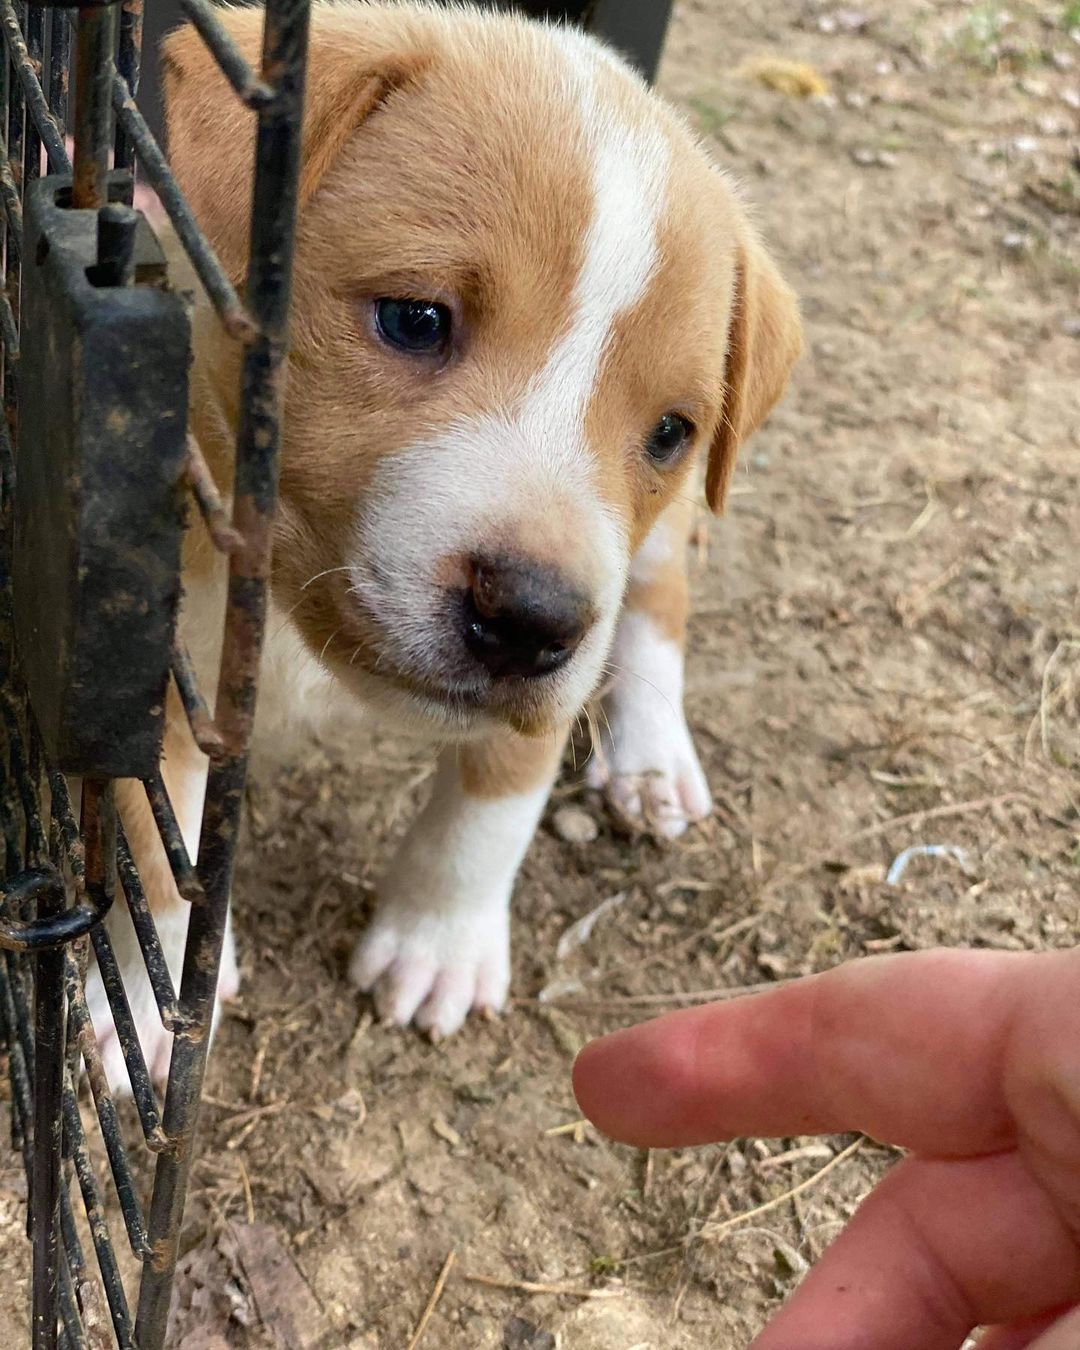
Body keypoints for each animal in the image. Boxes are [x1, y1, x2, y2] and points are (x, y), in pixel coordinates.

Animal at [88, 0, 799, 1074]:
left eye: (671, 432)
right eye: (416, 319)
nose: (531, 621)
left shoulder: (569, 647)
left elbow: (490, 810)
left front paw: (439, 948)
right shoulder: (159, 684)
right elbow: (164, 861)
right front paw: (151, 1009)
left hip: (655, 546)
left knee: (659, 604)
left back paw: (651, 761)